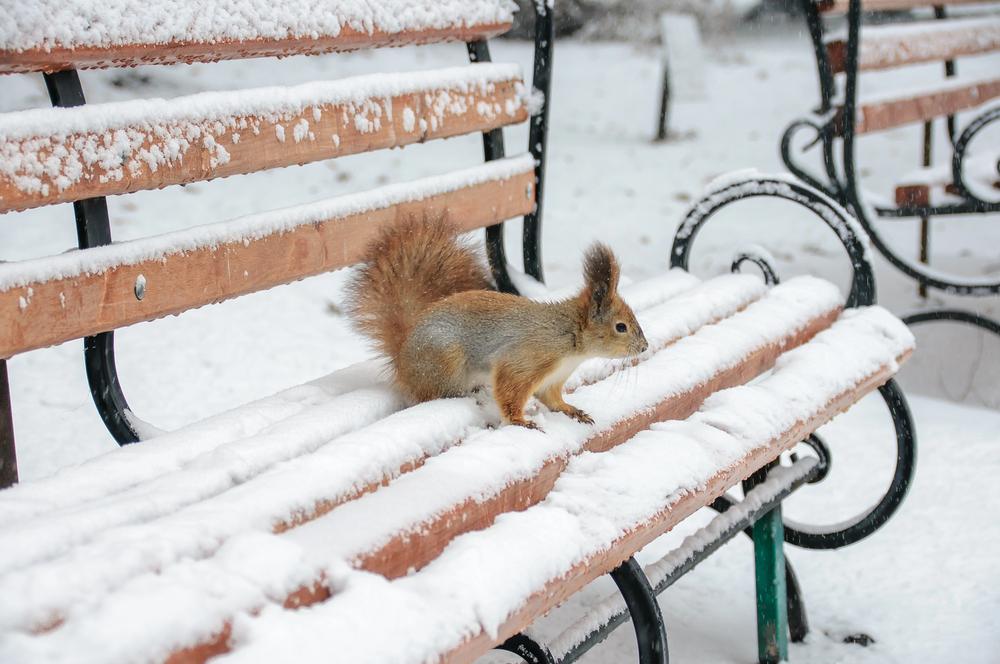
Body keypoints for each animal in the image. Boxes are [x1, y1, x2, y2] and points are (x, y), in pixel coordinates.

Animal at [348, 218, 652, 430]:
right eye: (621, 327)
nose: (644, 347)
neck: (570, 339)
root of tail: (403, 355)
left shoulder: (552, 380)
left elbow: (551, 399)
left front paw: (572, 411)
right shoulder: (526, 360)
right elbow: (510, 391)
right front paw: (520, 421)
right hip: (444, 360)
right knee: (432, 394)